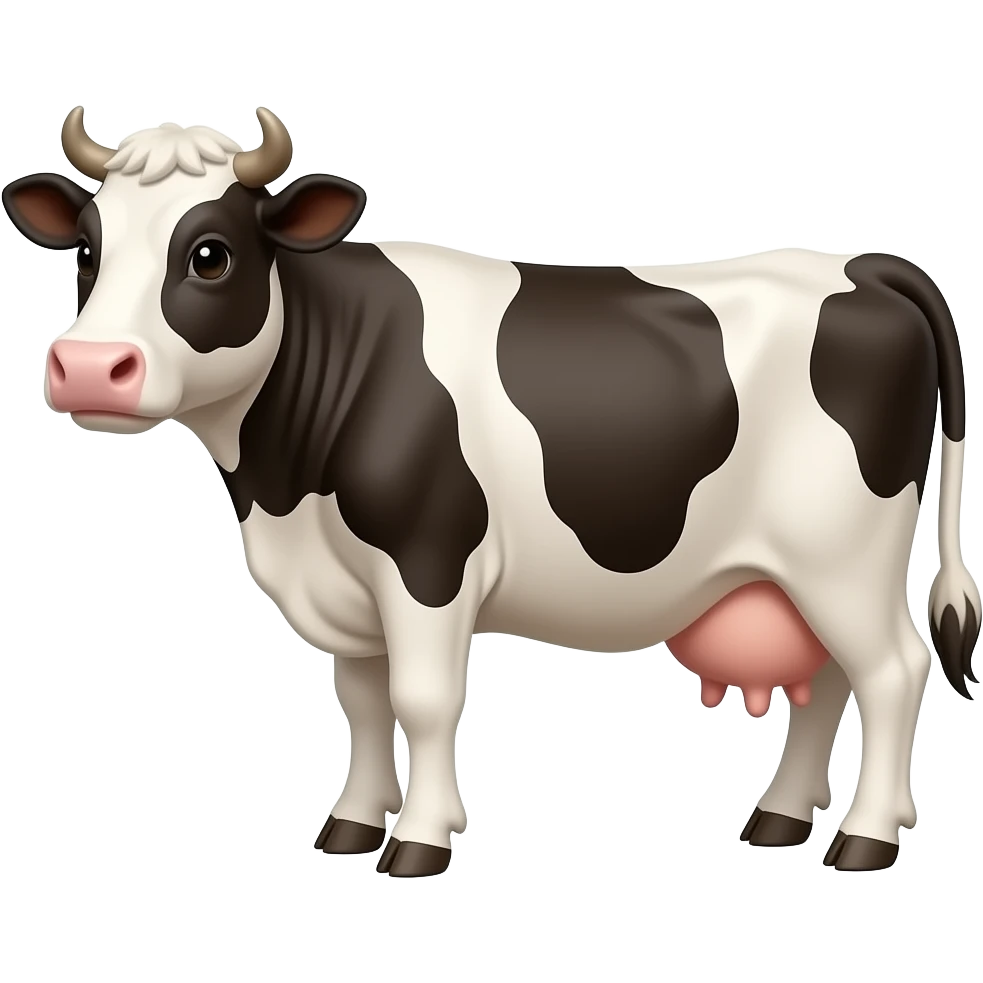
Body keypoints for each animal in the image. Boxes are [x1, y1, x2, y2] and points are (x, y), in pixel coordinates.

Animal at [5, 107, 978, 878]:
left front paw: (419, 841)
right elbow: (363, 703)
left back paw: (863, 837)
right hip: (793, 570)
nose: (88, 366)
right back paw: (779, 818)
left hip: (841, 552)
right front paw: (351, 824)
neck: (282, 490)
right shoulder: (348, 585)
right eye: (87, 250)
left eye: (209, 254)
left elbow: (422, 699)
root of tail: (864, 264)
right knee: (827, 676)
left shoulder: (427, 559)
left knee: (892, 669)